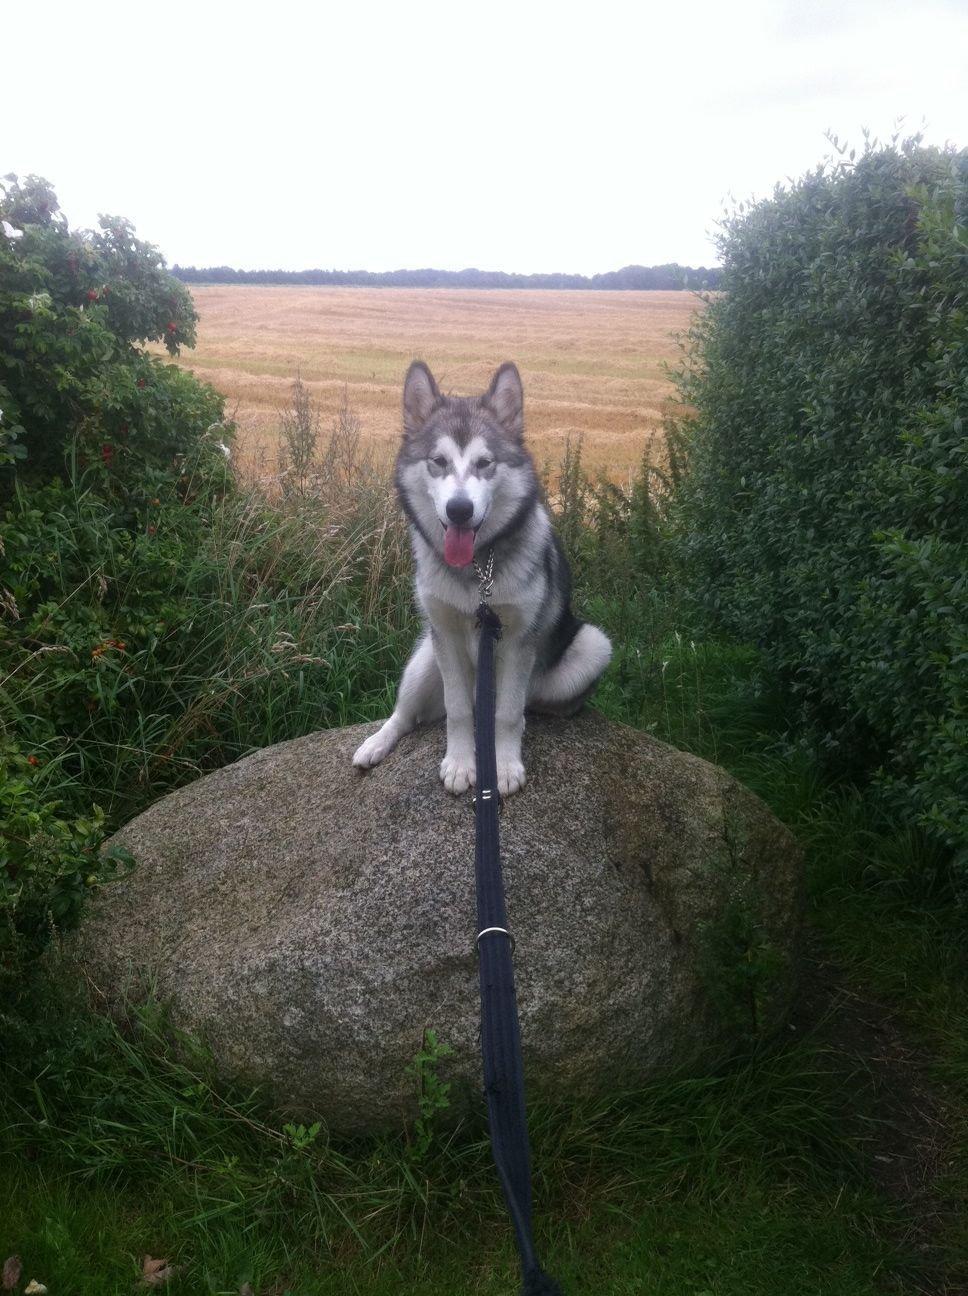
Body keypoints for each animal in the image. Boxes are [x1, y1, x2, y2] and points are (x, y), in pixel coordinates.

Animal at [355, 360, 614, 793]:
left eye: (484, 463)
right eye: (438, 461)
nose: (459, 510)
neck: (477, 571)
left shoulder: (518, 641)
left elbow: (506, 714)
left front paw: (504, 765)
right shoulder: (445, 635)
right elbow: (459, 710)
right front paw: (461, 763)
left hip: (592, 646)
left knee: (522, 703)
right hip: (423, 660)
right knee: (406, 716)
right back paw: (375, 744)